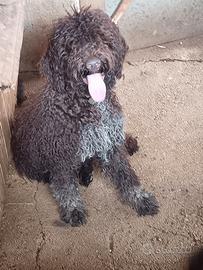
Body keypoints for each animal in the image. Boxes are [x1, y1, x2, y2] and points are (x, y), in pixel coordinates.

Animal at [11, 7, 159, 226]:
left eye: (101, 39)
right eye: (71, 46)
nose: (93, 64)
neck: (85, 106)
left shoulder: (109, 142)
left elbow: (126, 175)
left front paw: (139, 198)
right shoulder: (61, 156)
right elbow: (66, 187)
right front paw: (73, 210)